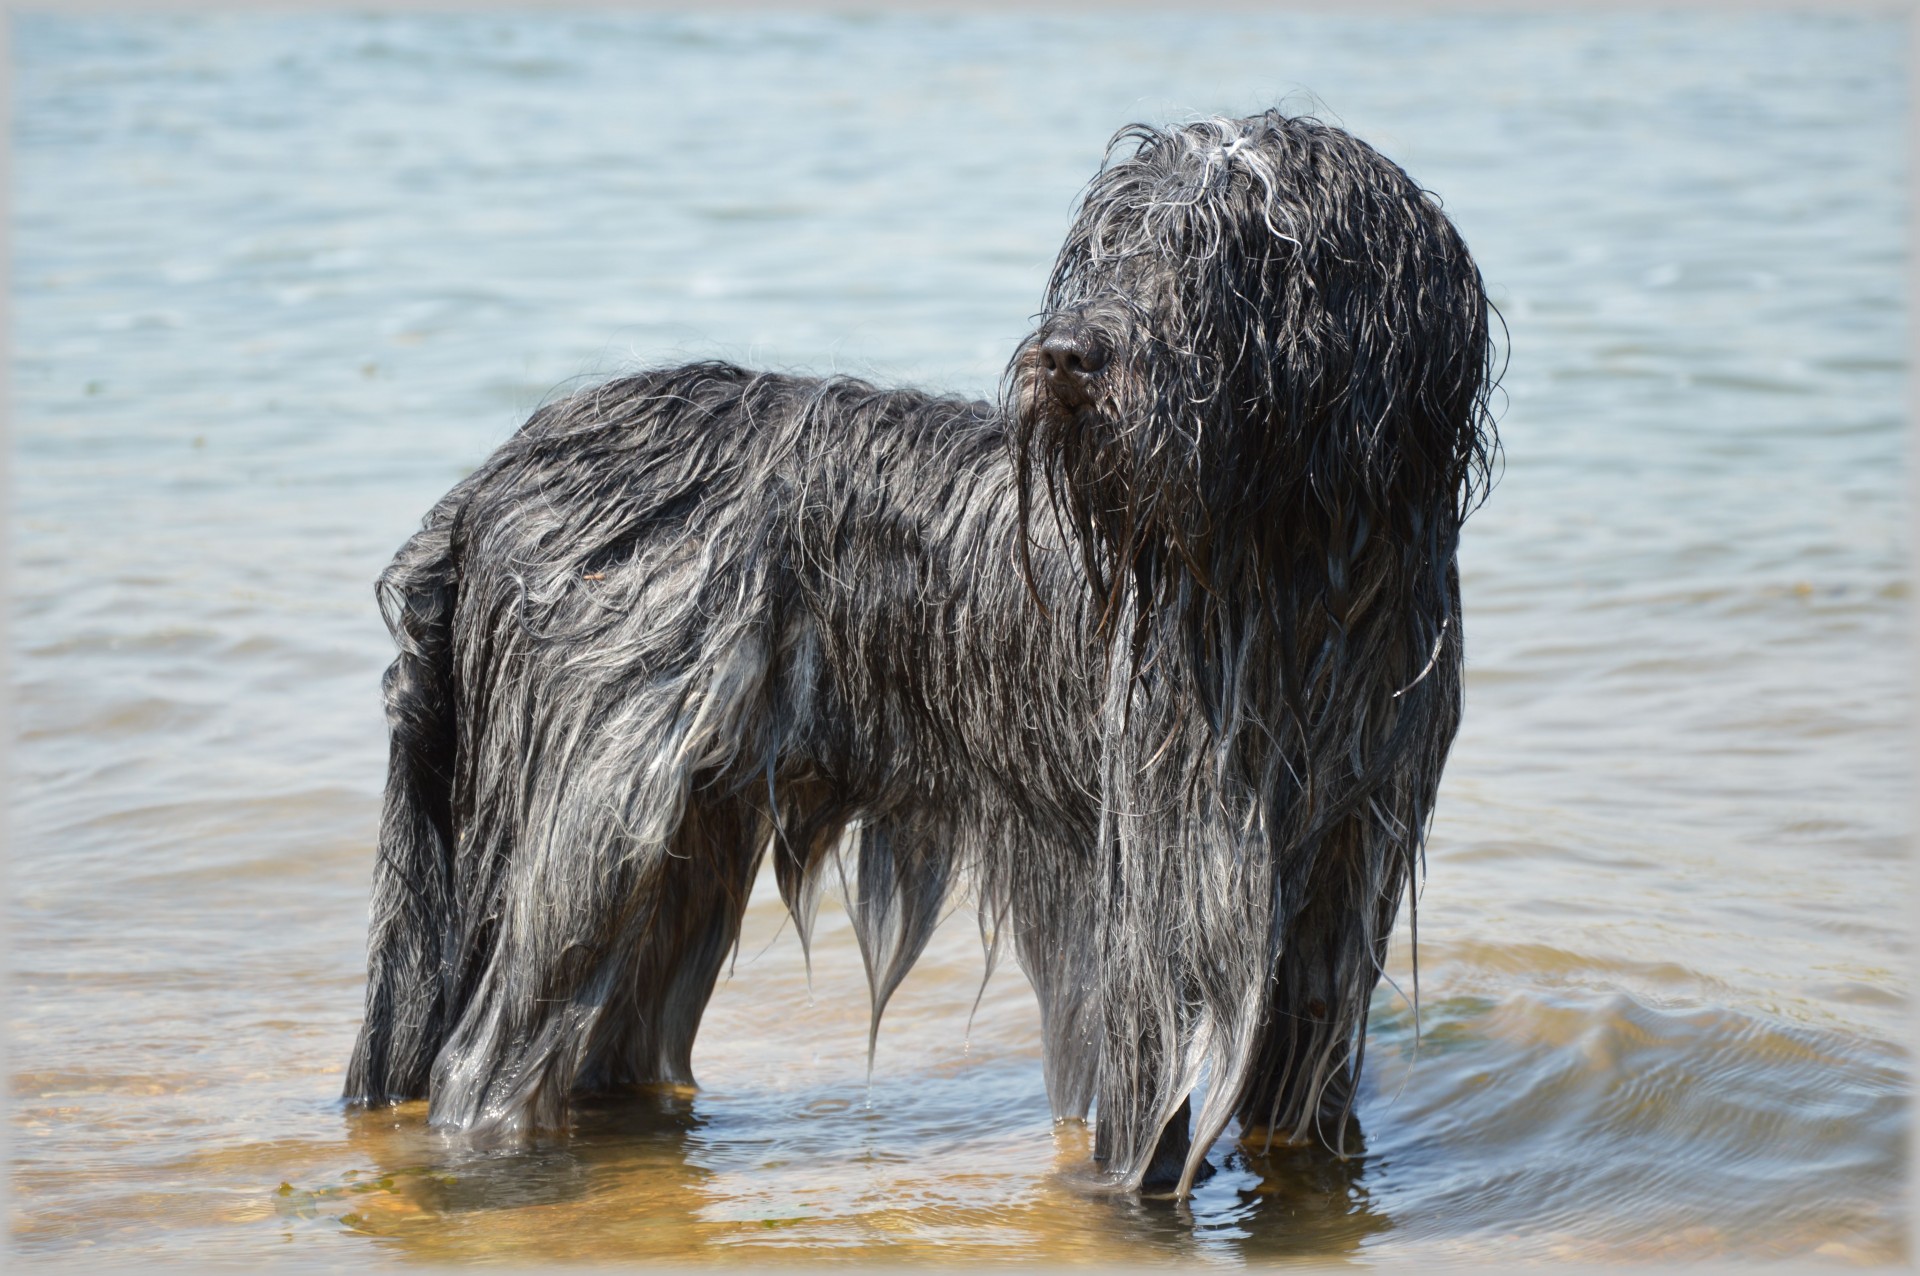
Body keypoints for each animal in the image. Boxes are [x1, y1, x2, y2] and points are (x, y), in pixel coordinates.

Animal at [353, 109, 1505, 1197]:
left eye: (1231, 246)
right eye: (1110, 243)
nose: (1066, 355)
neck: (1288, 579)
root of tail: (485, 482)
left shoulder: (1342, 877)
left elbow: (1307, 1109)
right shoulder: (1166, 888)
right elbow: (1146, 1124)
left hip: (682, 855)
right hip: (591, 826)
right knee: (481, 1061)